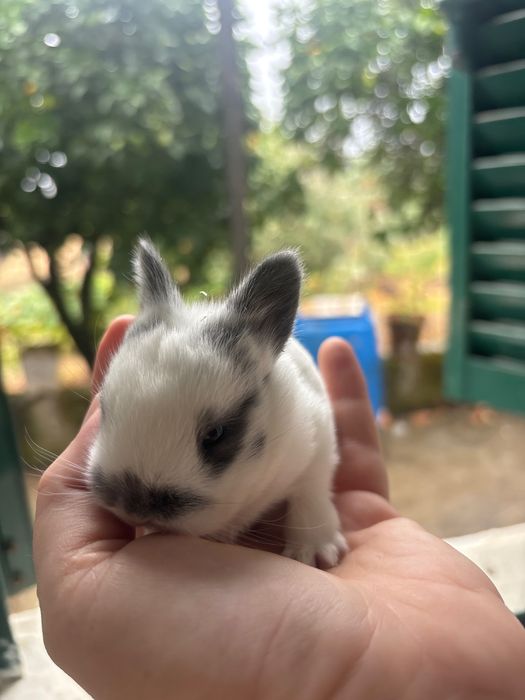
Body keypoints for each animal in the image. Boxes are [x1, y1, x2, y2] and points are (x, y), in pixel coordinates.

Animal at [87, 238, 348, 569]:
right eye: (106, 410)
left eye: (215, 434)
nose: (136, 506)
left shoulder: (318, 447)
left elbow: (311, 496)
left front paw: (314, 551)